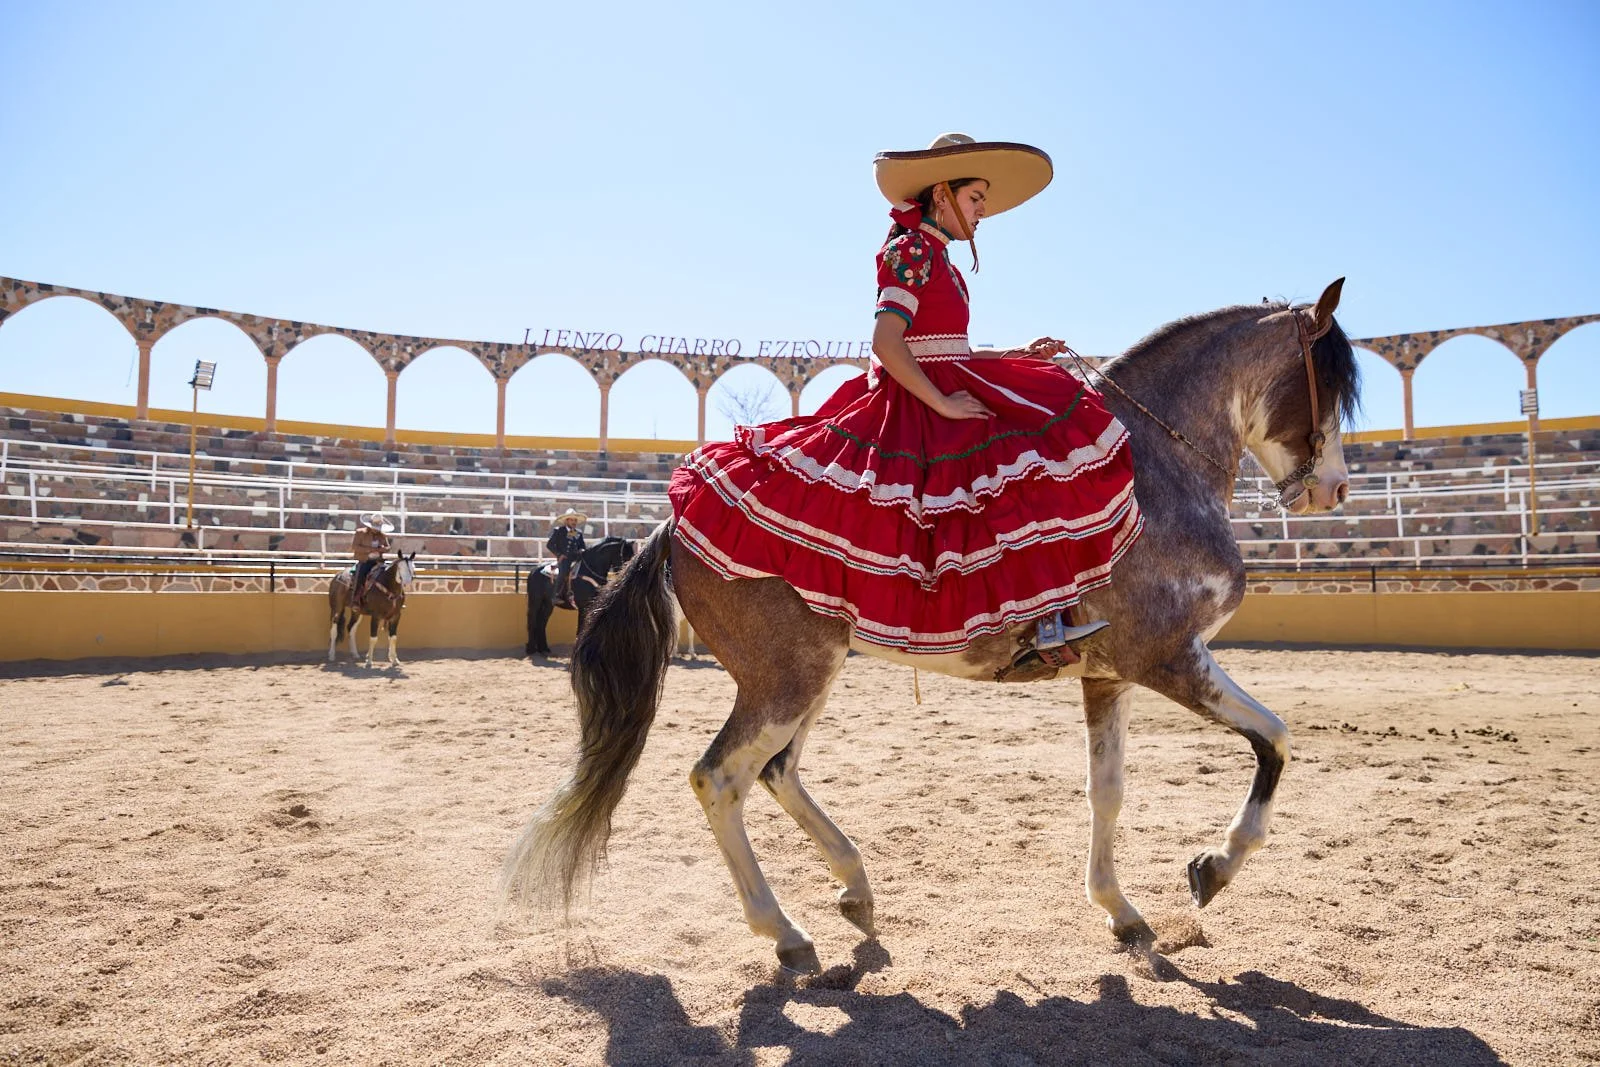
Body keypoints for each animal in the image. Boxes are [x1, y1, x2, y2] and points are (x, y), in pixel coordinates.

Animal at [504, 280, 1360, 975]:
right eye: (1329, 382)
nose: (1334, 488)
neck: (1152, 465)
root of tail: (673, 524)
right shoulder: (1169, 656)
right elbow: (1275, 738)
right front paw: (1214, 866)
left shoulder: (1108, 673)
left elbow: (1108, 791)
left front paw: (1122, 911)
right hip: (785, 680)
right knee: (721, 778)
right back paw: (786, 933)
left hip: (810, 674)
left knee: (777, 771)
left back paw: (854, 888)